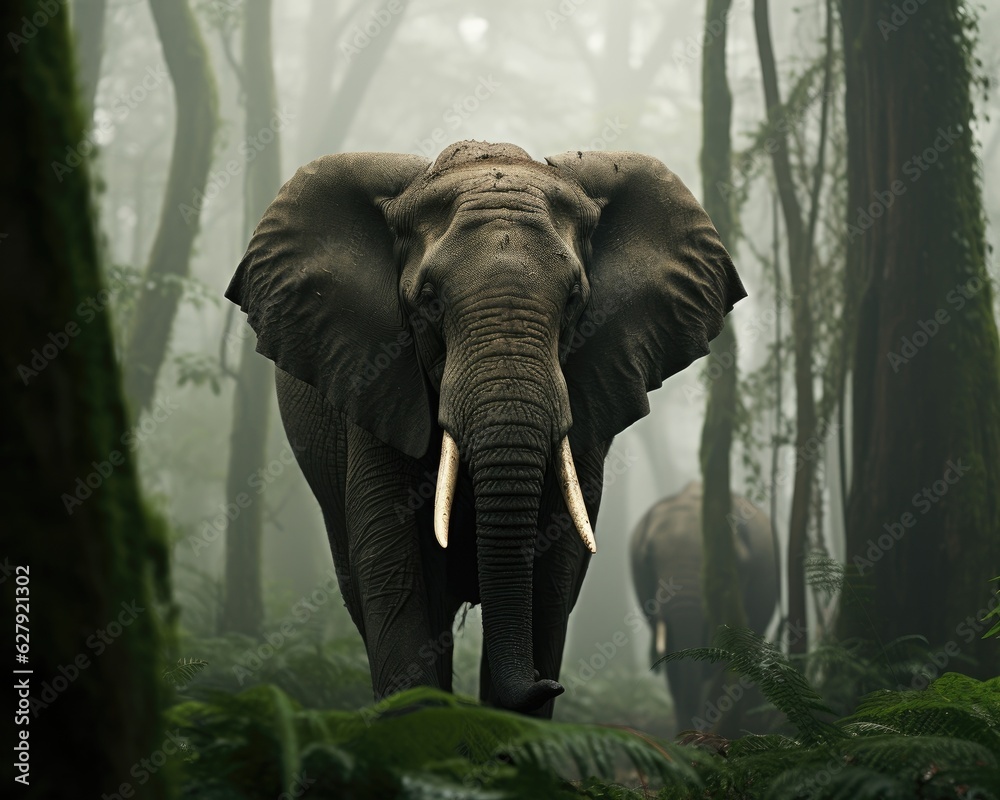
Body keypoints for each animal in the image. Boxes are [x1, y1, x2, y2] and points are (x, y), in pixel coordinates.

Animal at [226, 140, 745, 716]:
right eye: (429, 300)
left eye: (574, 300)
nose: (550, 685)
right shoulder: (375, 378)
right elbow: (393, 570)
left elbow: (553, 578)